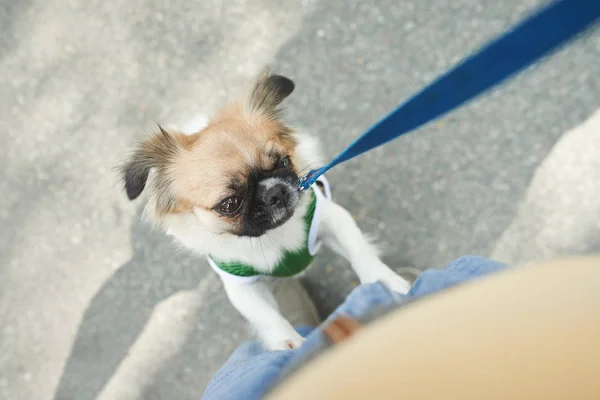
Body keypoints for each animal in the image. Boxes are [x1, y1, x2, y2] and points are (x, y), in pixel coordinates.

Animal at [122, 72, 412, 350]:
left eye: (284, 162)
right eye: (229, 204)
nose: (275, 191)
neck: (273, 235)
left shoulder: (333, 220)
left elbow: (361, 254)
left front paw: (388, 284)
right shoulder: (241, 286)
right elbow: (267, 317)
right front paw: (291, 345)